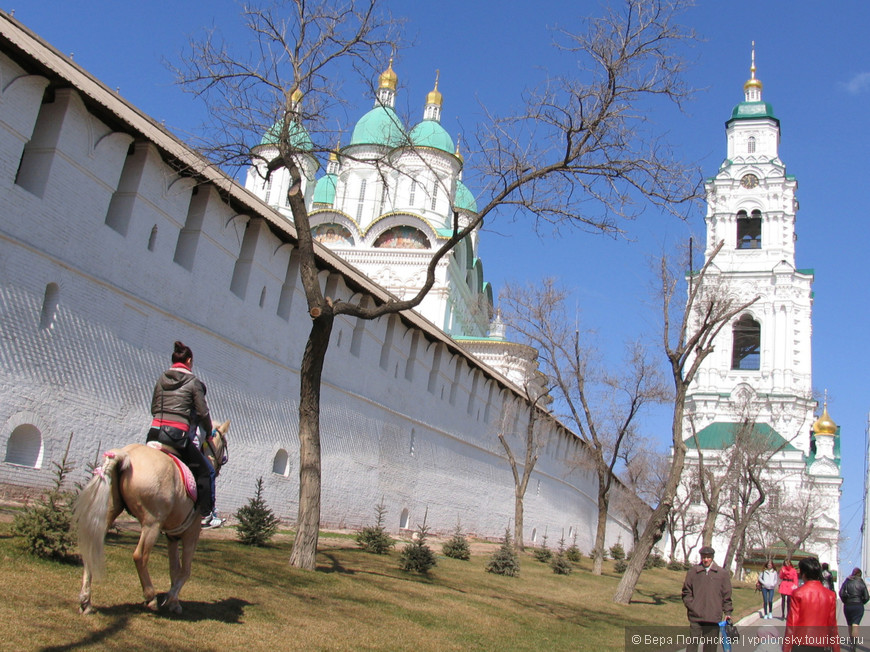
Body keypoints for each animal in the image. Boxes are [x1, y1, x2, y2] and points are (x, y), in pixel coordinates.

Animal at [74, 420, 230, 612]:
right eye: (224, 443)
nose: (220, 464)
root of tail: (126, 455)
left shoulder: (172, 536)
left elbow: (174, 569)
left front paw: (174, 602)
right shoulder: (192, 534)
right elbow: (185, 570)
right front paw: (171, 598)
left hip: (109, 512)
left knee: (92, 544)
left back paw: (86, 601)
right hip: (152, 524)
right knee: (140, 556)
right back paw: (150, 597)